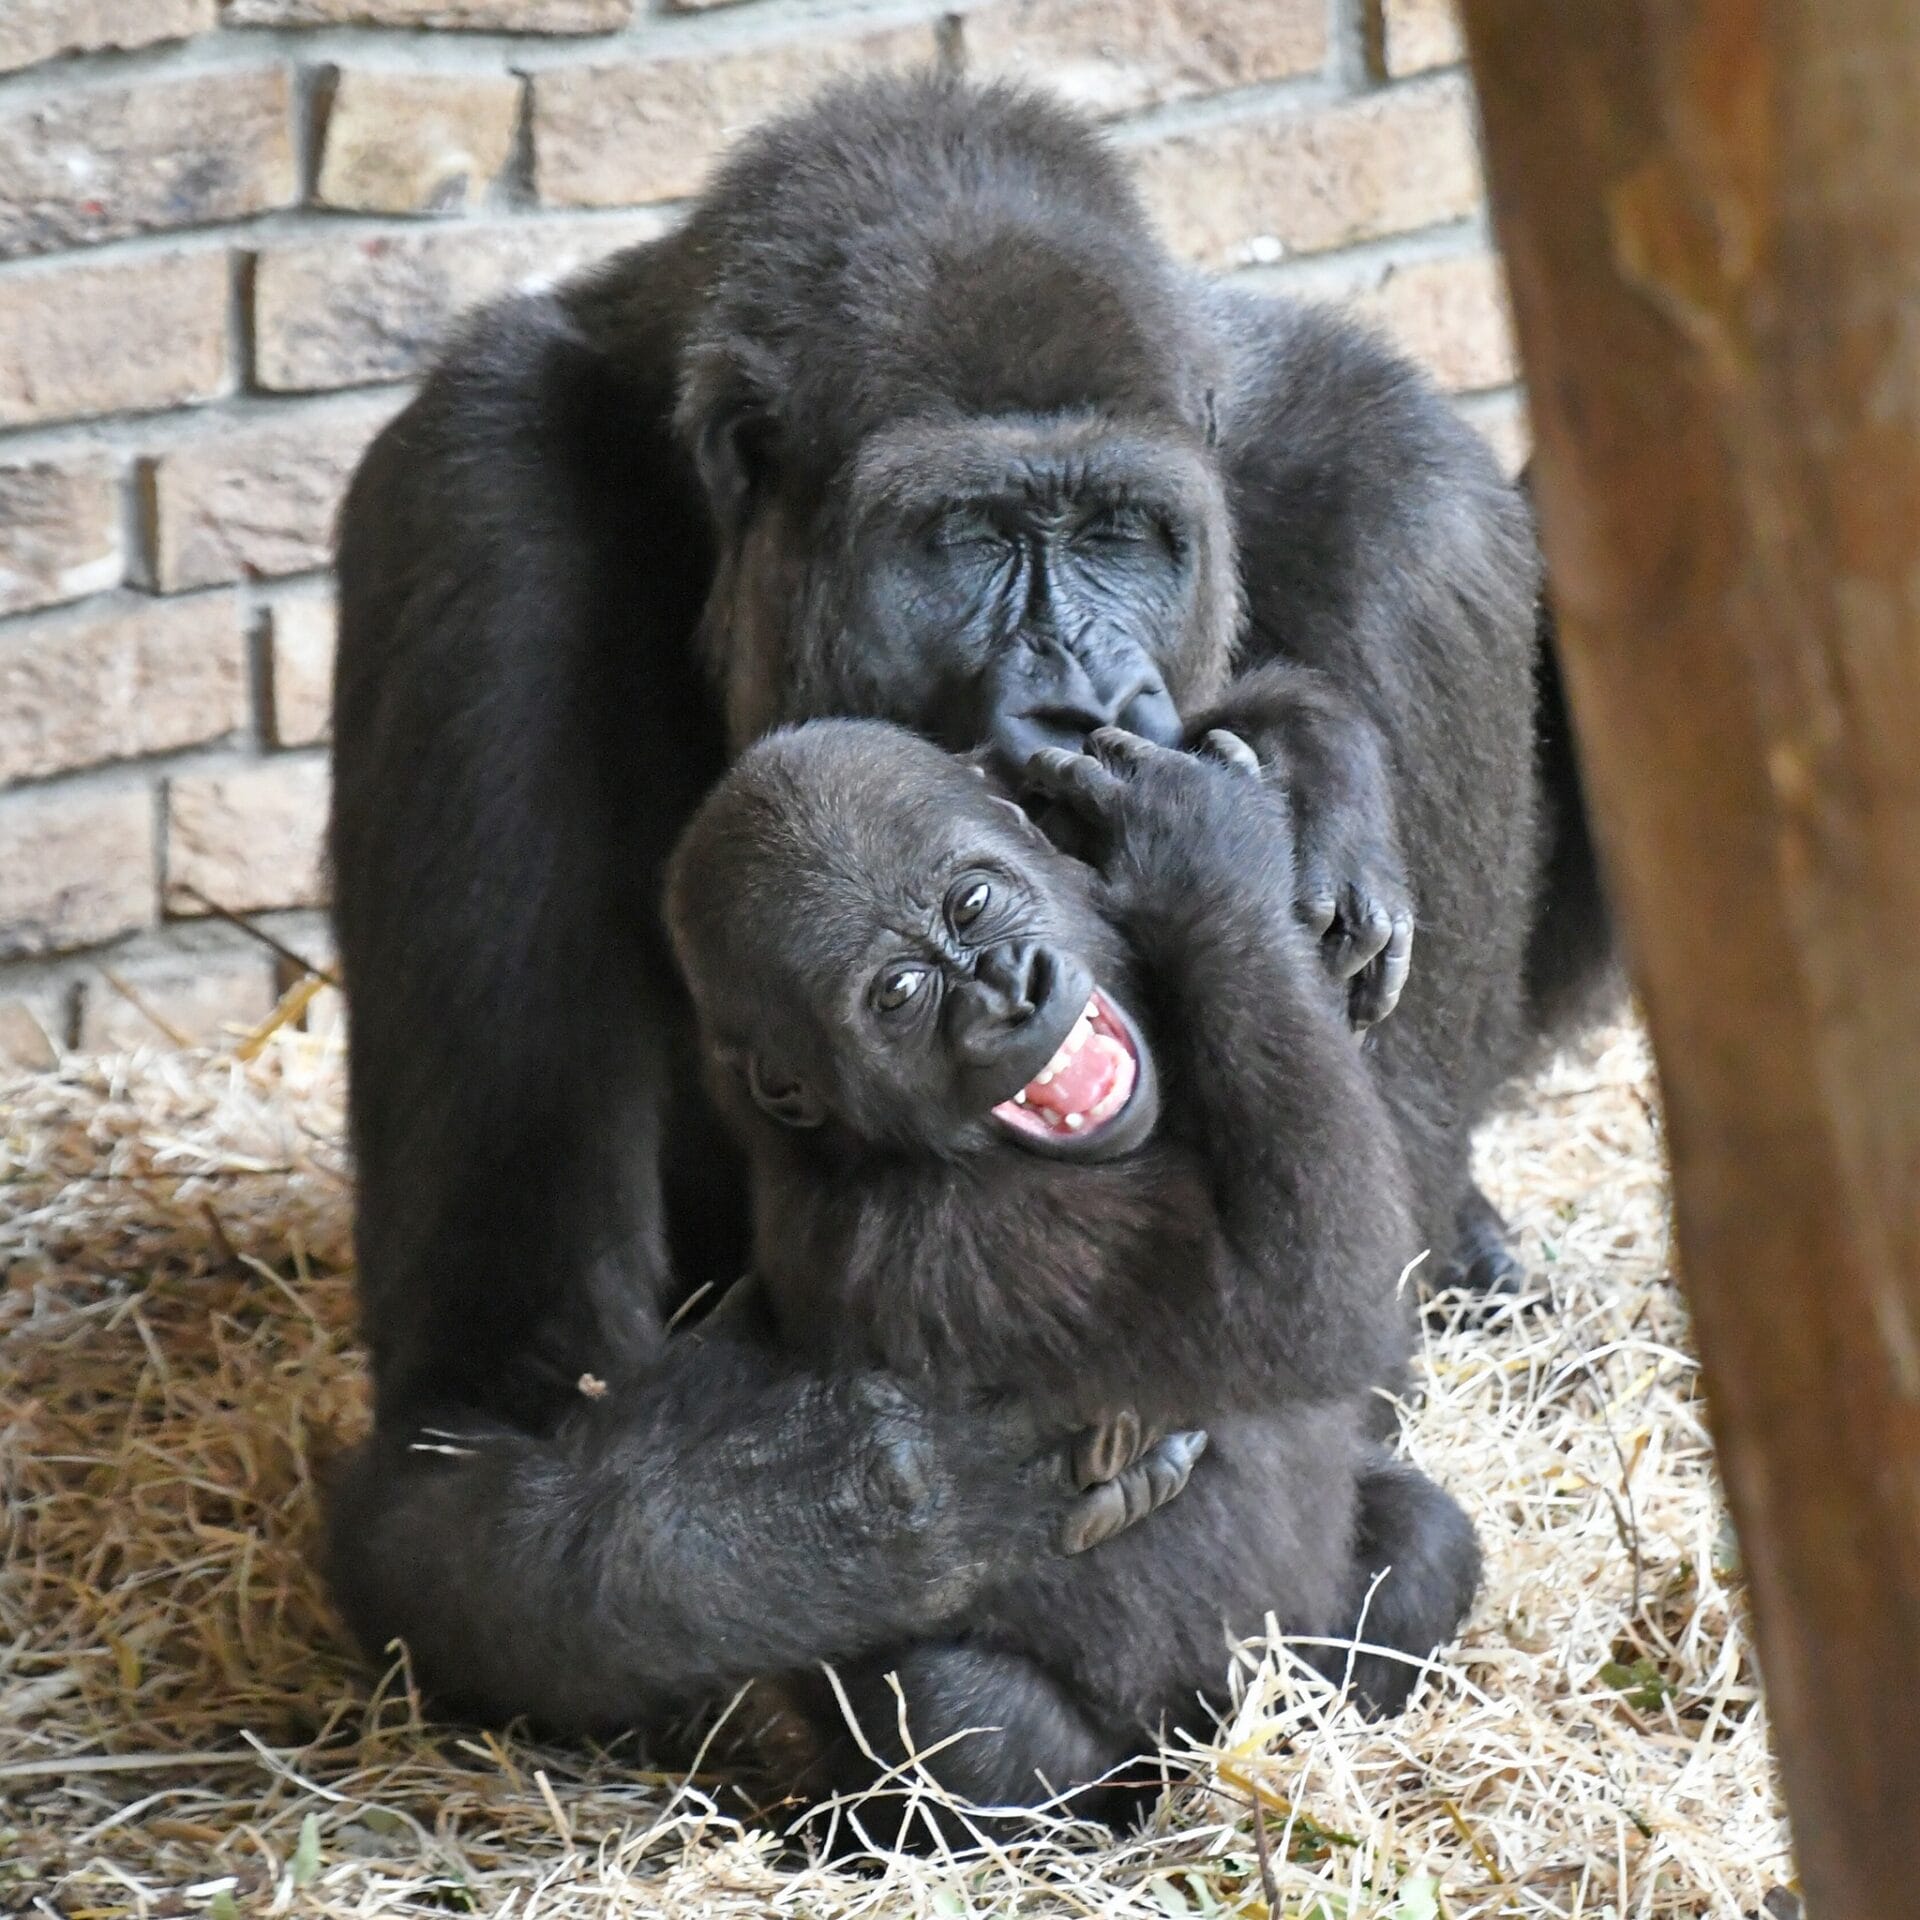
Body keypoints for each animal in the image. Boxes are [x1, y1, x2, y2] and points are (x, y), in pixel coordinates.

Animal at [660, 718, 1481, 1835]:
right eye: (898, 995)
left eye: (972, 902)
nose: (1009, 991)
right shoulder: (959, 1244)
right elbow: (1310, 1304)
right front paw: (1206, 848)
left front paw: (1313, 810)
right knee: (958, 1711)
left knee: (1422, 1539)